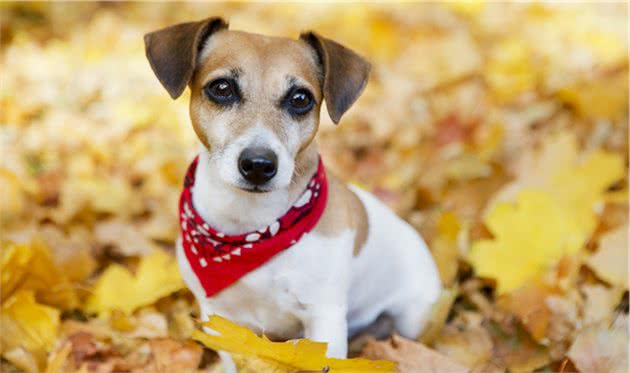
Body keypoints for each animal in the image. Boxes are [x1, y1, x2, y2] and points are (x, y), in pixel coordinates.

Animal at [145, 16, 442, 370]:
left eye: (300, 98)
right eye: (222, 88)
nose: (258, 165)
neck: (252, 228)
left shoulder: (324, 319)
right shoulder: (219, 320)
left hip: (412, 314)